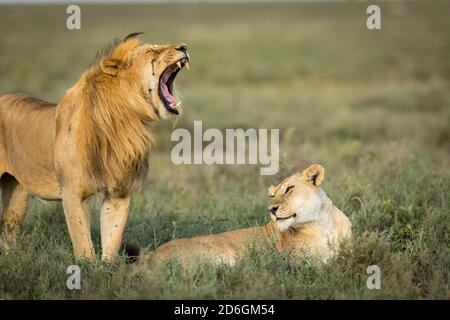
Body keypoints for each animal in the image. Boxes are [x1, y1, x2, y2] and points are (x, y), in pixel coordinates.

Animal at [0, 33, 190, 262]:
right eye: (152, 51)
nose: (184, 47)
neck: (125, 120)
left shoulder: (119, 192)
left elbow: (113, 237)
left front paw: (108, 267)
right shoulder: (72, 191)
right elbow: (82, 240)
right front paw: (86, 267)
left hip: (17, 198)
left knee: (6, 230)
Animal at [134, 164, 352, 266]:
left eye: (289, 189)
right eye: (272, 195)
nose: (272, 210)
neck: (323, 224)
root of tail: (150, 257)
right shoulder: (306, 263)